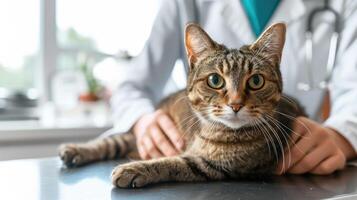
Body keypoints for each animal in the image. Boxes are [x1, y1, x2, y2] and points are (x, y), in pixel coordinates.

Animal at [58, 22, 304, 188]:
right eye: (215, 80)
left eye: (256, 81)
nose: (236, 104)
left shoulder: (213, 166)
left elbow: (172, 162)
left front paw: (132, 168)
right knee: (112, 141)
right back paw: (73, 150)